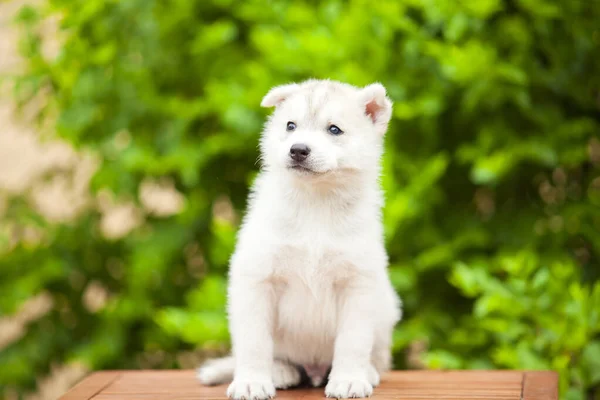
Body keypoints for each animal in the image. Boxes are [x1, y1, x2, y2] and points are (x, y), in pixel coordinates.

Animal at [198, 79, 404, 398]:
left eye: (334, 129)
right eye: (290, 125)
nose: (298, 150)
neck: (315, 201)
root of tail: (314, 369)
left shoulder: (357, 283)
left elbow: (353, 341)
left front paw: (348, 380)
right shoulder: (257, 278)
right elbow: (254, 343)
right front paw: (251, 382)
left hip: (386, 309)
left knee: (377, 357)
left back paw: (366, 373)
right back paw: (280, 371)